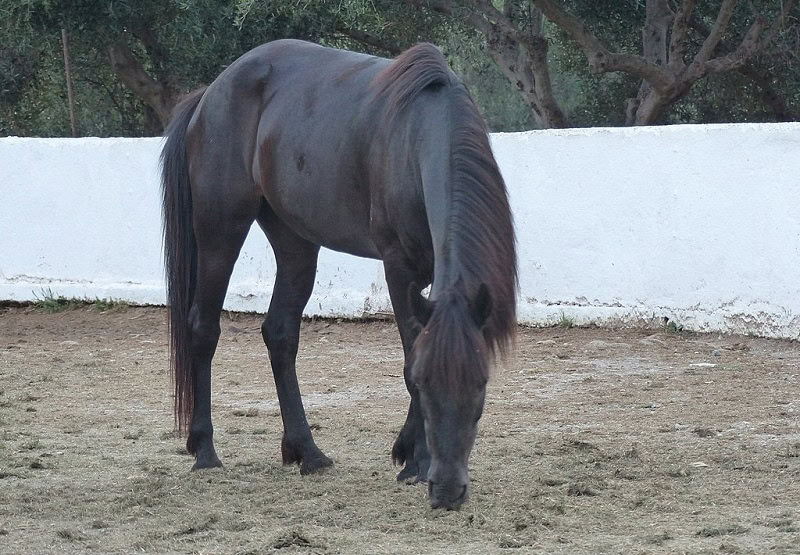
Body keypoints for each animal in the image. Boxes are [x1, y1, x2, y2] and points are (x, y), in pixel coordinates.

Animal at [161, 39, 517, 510]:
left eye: (480, 384)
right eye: (428, 386)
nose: (446, 491)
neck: (417, 134)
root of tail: (211, 94)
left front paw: (406, 453)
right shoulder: (397, 267)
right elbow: (409, 359)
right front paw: (416, 460)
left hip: (295, 242)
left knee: (280, 334)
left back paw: (306, 452)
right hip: (221, 230)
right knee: (204, 329)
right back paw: (205, 451)